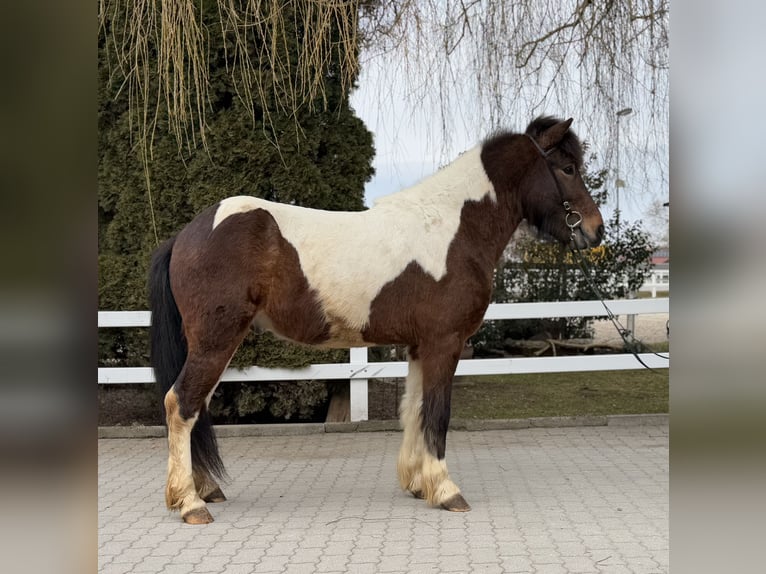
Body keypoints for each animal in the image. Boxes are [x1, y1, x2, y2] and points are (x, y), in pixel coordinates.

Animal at [148, 117, 608, 528]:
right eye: (567, 168)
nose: (595, 230)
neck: (453, 229)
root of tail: (186, 235)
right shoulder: (445, 343)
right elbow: (437, 413)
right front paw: (446, 491)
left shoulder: (421, 346)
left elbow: (415, 409)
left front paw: (419, 484)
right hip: (217, 340)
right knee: (181, 403)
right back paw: (190, 503)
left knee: (196, 406)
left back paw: (206, 490)